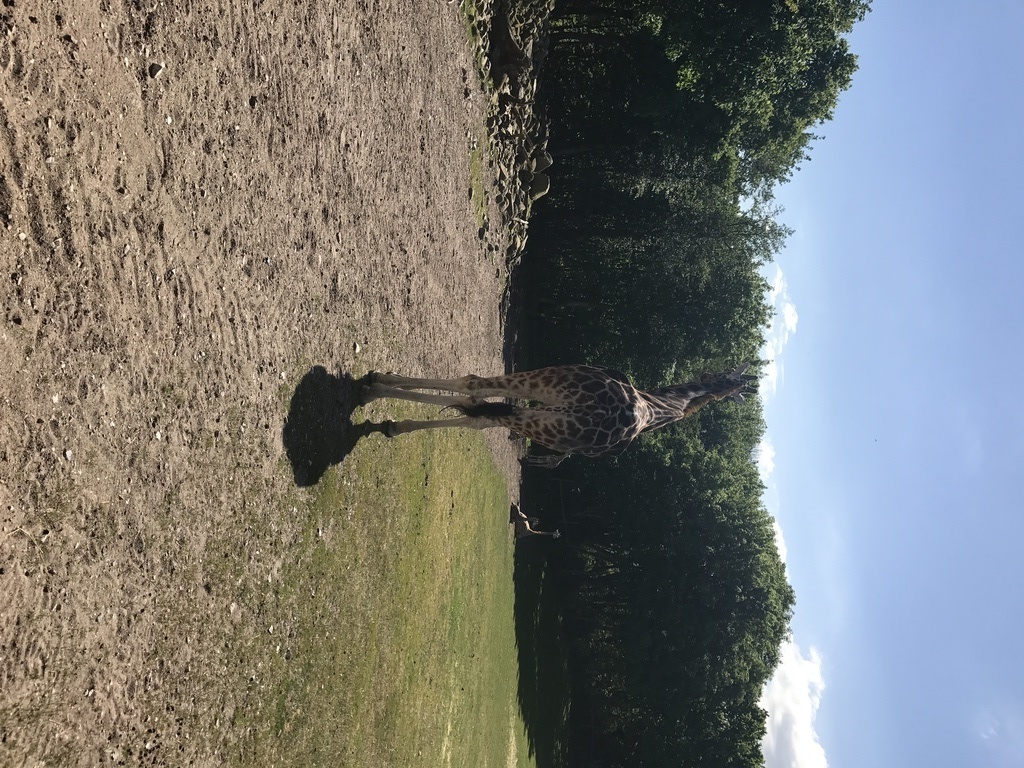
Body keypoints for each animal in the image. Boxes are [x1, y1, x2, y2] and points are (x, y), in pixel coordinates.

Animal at [360, 363, 755, 467]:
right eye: (726, 378)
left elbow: (477, 412)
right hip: (545, 392)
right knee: (474, 387)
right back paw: (378, 386)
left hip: (541, 411)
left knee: (475, 398)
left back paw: (382, 398)